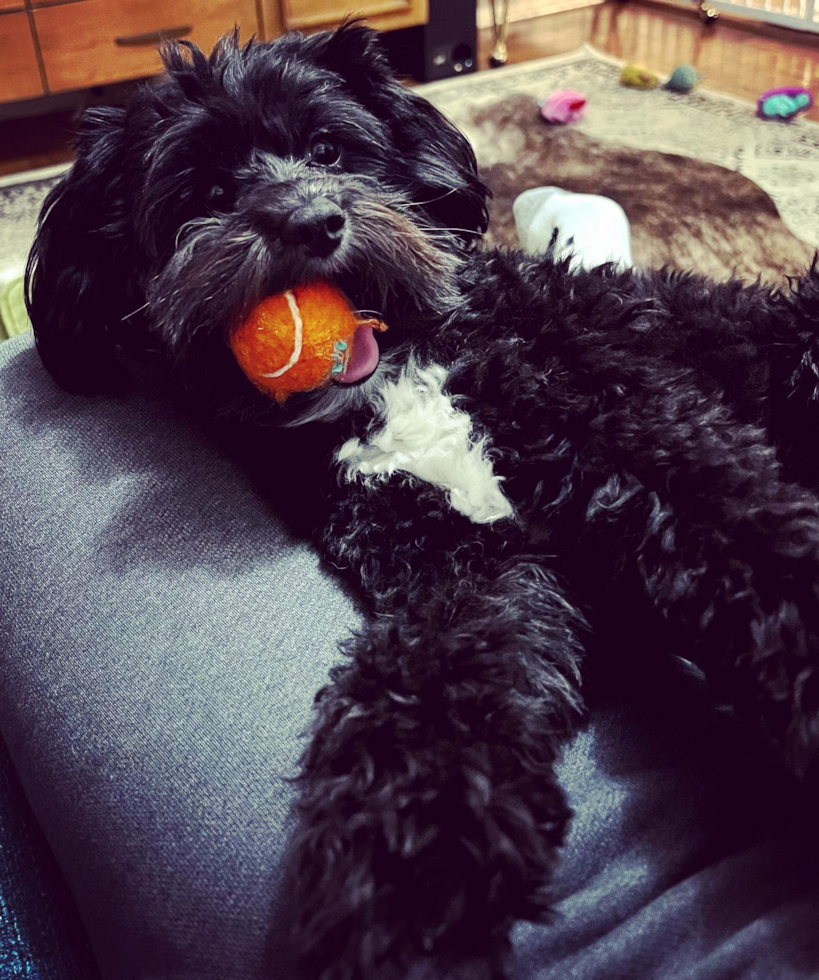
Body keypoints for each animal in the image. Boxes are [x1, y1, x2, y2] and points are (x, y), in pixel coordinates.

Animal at [25, 23, 819, 980]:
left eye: (330, 150)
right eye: (207, 192)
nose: (310, 222)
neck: (402, 375)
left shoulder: (642, 439)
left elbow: (754, 546)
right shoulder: (458, 564)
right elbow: (430, 696)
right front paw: (406, 876)